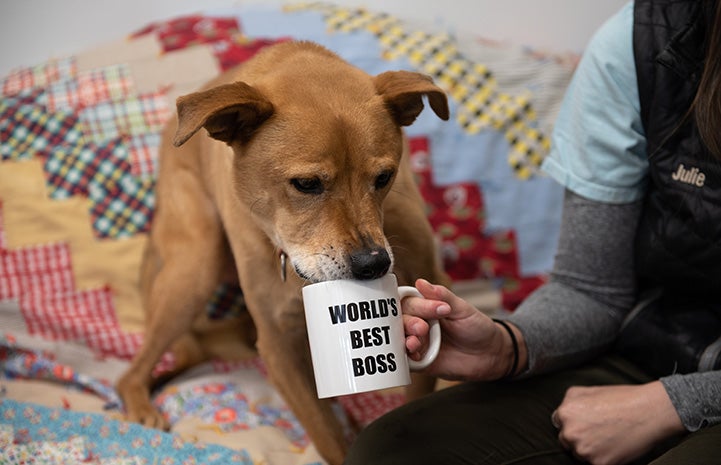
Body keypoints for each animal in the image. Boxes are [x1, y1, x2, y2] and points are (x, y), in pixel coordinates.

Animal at [118, 40, 450, 464]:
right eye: (306, 183)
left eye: (384, 178)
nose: (374, 265)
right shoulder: (276, 346)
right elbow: (325, 434)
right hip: (195, 268)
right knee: (129, 374)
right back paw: (140, 404)